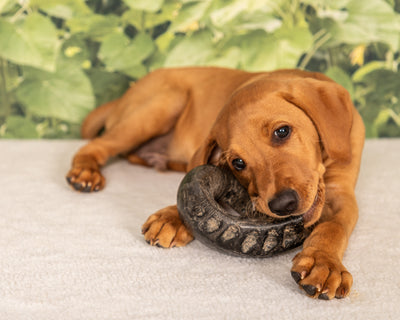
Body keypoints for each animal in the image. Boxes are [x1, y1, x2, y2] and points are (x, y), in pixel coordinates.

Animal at [66, 67, 366, 300]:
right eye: (238, 163)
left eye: (282, 131)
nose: (283, 204)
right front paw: (173, 216)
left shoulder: (342, 193)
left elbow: (333, 227)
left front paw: (324, 263)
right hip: (162, 104)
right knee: (97, 145)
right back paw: (85, 171)